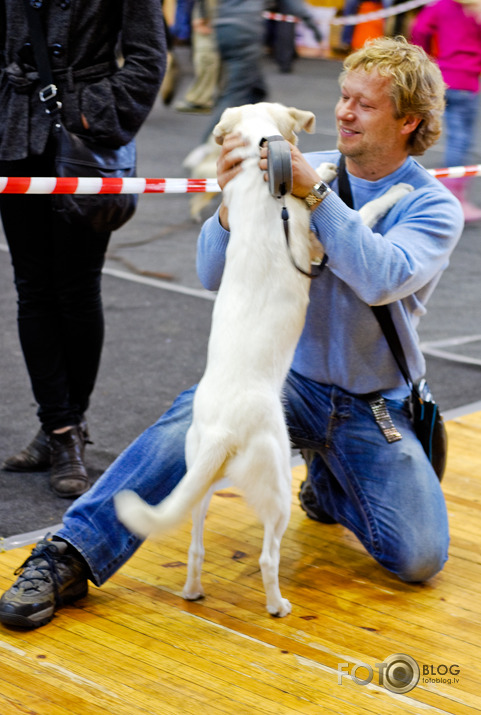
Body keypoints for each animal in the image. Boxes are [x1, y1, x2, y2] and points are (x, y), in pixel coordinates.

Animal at [113, 102, 412, 620]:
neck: (262, 179)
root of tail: (222, 433)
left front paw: (326, 171)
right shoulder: (319, 247)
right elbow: (362, 212)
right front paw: (388, 188)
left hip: (201, 480)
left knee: (194, 546)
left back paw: (192, 592)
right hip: (274, 483)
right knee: (268, 556)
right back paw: (278, 606)